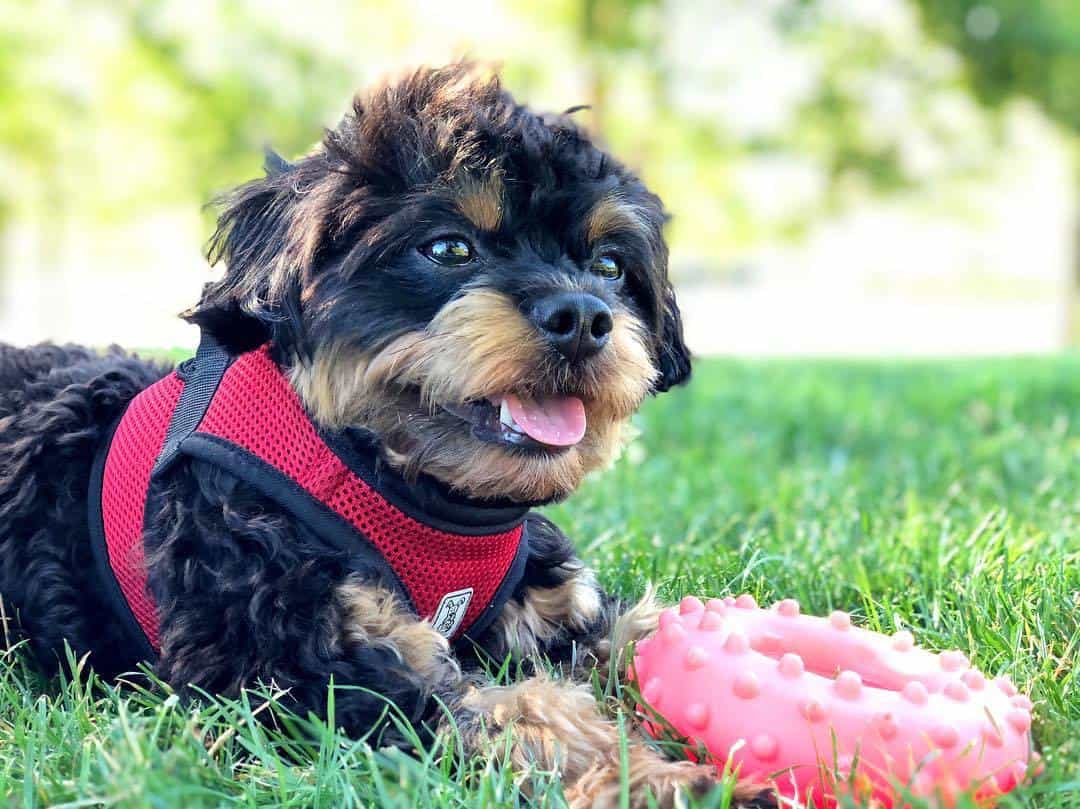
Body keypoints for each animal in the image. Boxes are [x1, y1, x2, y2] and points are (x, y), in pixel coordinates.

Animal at [0, 66, 777, 803]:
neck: (395, 477)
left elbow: (630, 632)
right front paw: (669, 781)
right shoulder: (283, 666)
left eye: (611, 266)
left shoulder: (556, 608)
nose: (583, 317)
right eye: (448, 247)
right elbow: (522, 713)